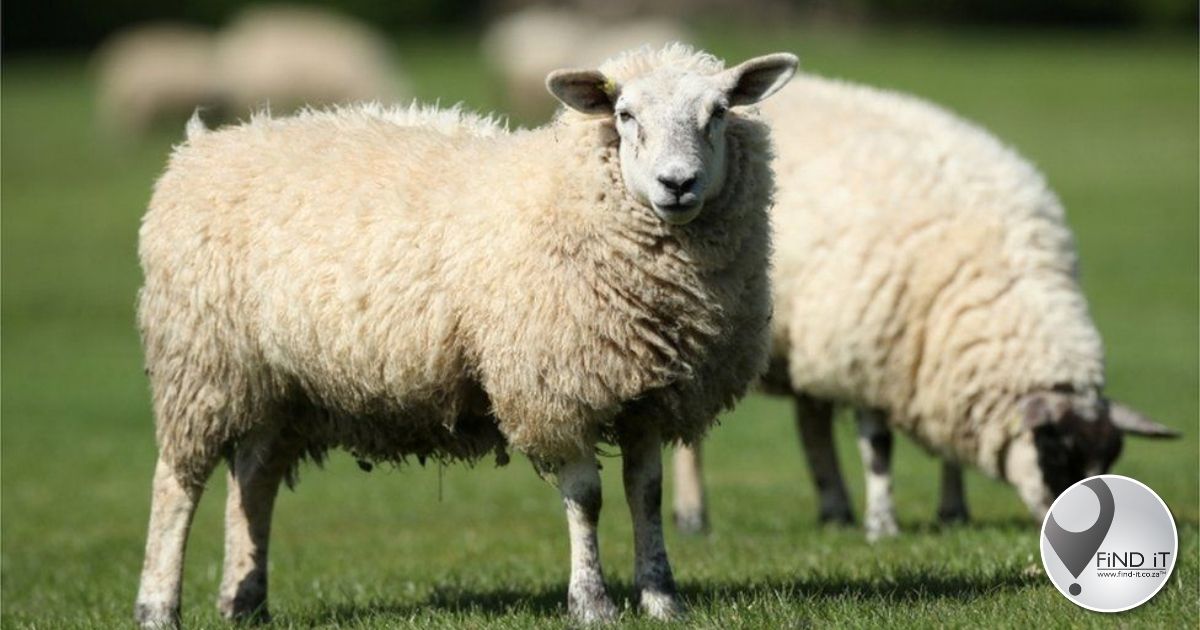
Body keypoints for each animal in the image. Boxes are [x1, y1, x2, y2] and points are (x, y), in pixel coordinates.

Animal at [132, 44, 798, 627]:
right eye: (625, 115)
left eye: (718, 112)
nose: (677, 183)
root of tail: (202, 148)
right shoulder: (553, 385)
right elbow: (586, 497)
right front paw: (592, 604)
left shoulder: (646, 392)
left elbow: (647, 493)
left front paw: (661, 600)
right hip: (199, 361)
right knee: (177, 483)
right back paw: (157, 606)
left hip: (280, 382)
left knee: (254, 480)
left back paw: (244, 602)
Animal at [670, 72, 1178, 540]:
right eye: (1057, 451)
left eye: (1109, 459)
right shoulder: (869, 353)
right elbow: (877, 447)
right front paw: (883, 526)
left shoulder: (930, 362)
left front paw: (952, 513)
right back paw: (693, 517)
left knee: (812, 423)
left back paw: (835, 510)